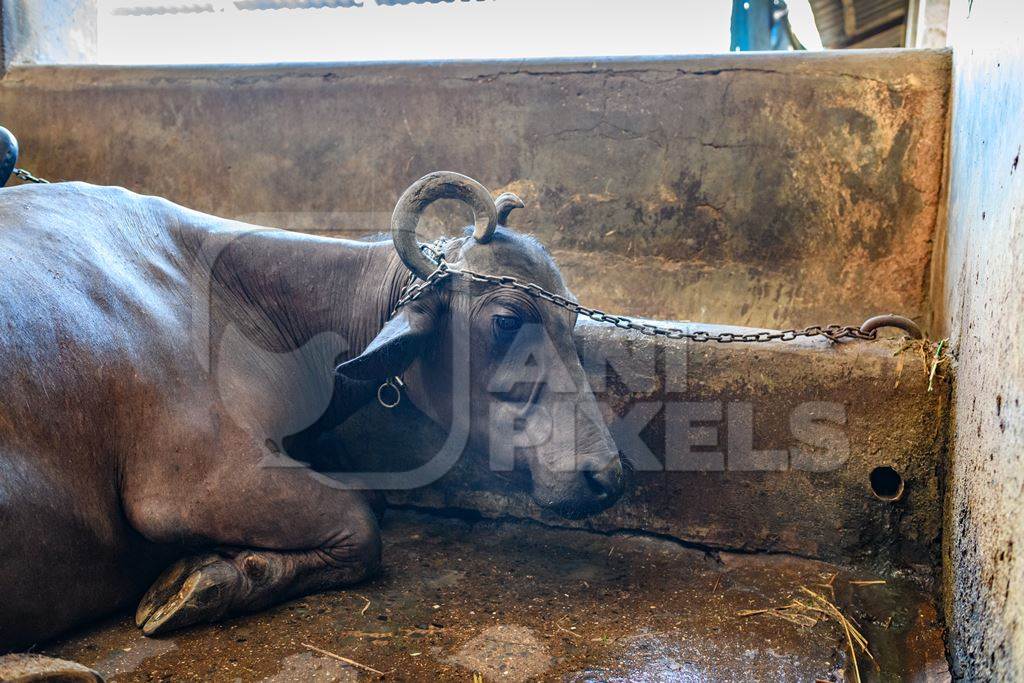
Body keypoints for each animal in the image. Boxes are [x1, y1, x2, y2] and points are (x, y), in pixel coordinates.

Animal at [0, 171, 622, 651]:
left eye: (573, 319)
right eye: (507, 320)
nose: (606, 475)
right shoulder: (191, 484)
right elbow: (362, 526)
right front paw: (204, 581)